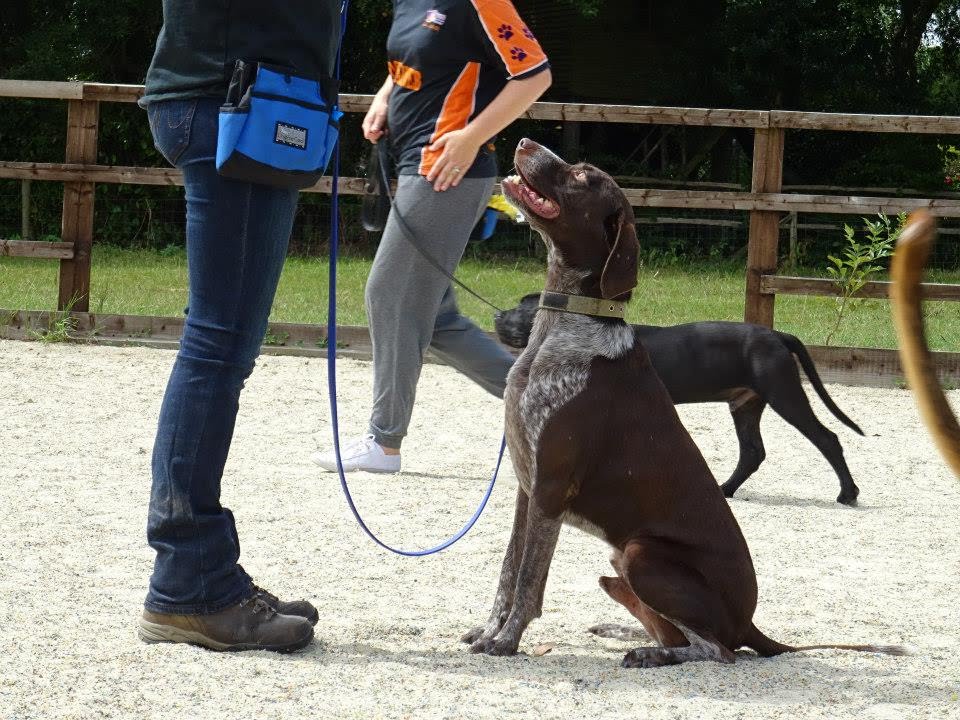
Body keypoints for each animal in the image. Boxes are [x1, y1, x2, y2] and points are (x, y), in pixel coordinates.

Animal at [496, 296, 864, 504]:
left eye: (523, 308)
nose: (498, 315)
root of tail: (777, 334)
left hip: (784, 394)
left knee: (827, 439)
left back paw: (848, 494)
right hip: (746, 405)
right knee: (752, 452)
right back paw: (725, 489)